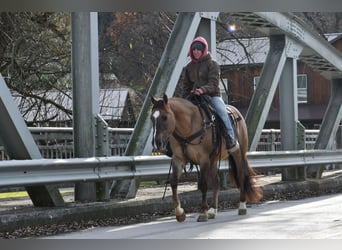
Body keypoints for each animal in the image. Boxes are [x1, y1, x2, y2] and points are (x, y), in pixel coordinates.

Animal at [150, 94, 262, 223]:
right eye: (151, 118)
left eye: (164, 117)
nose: (157, 143)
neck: (189, 126)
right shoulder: (178, 159)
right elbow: (173, 183)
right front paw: (179, 213)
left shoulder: (203, 160)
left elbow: (203, 185)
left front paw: (203, 212)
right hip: (213, 160)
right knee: (216, 182)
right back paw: (213, 210)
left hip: (238, 153)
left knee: (241, 175)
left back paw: (242, 206)